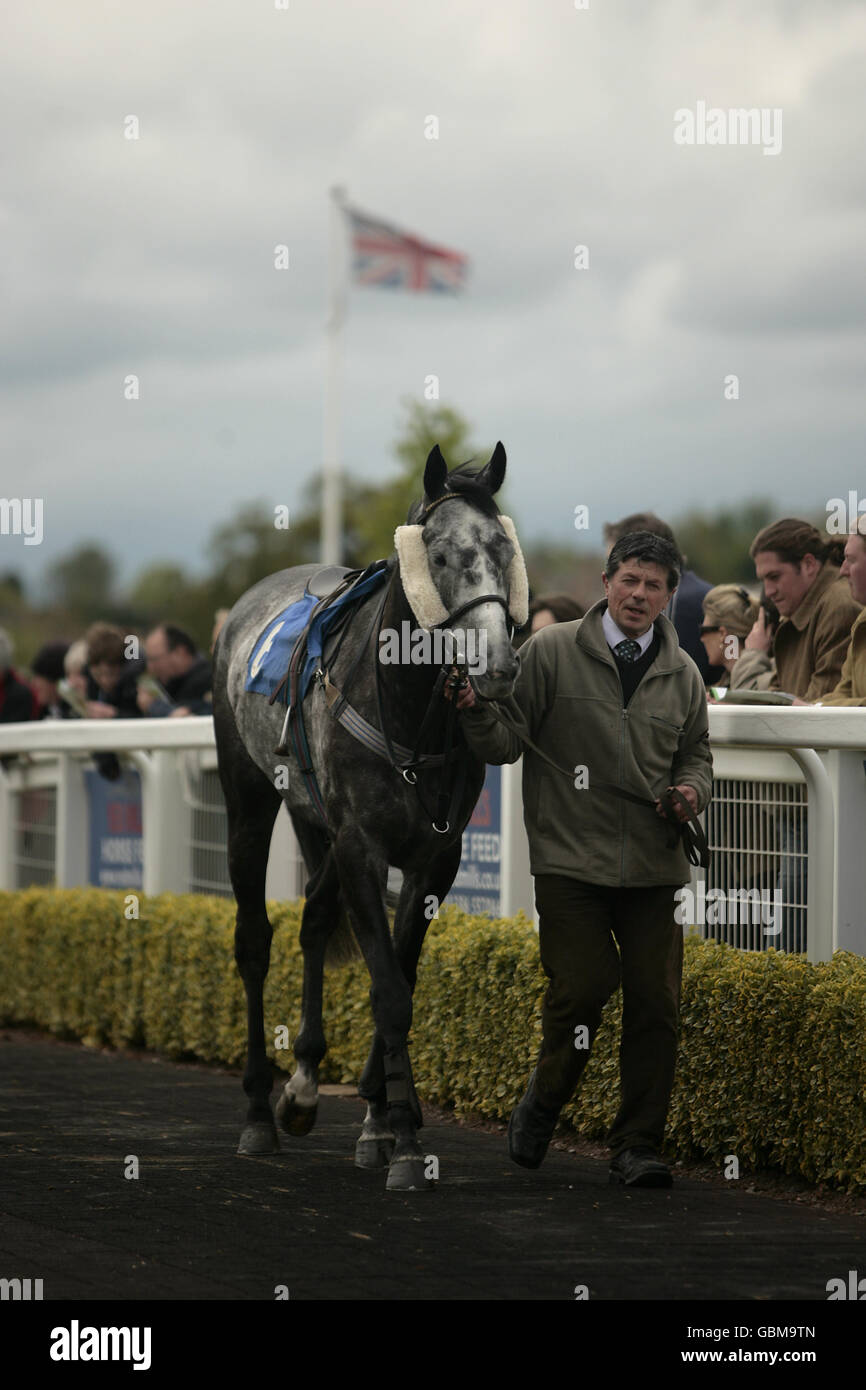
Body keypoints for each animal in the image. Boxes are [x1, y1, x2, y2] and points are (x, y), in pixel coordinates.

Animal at [214, 444, 525, 1195]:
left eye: (504, 548)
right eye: (438, 554)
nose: (498, 667)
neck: (411, 713)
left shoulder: (434, 855)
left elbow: (402, 976)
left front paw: (379, 1123)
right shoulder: (362, 845)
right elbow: (388, 994)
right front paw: (405, 1141)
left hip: (315, 821)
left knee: (315, 920)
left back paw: (300, 1087)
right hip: (249, 798)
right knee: (254, 941)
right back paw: (260, 1111)